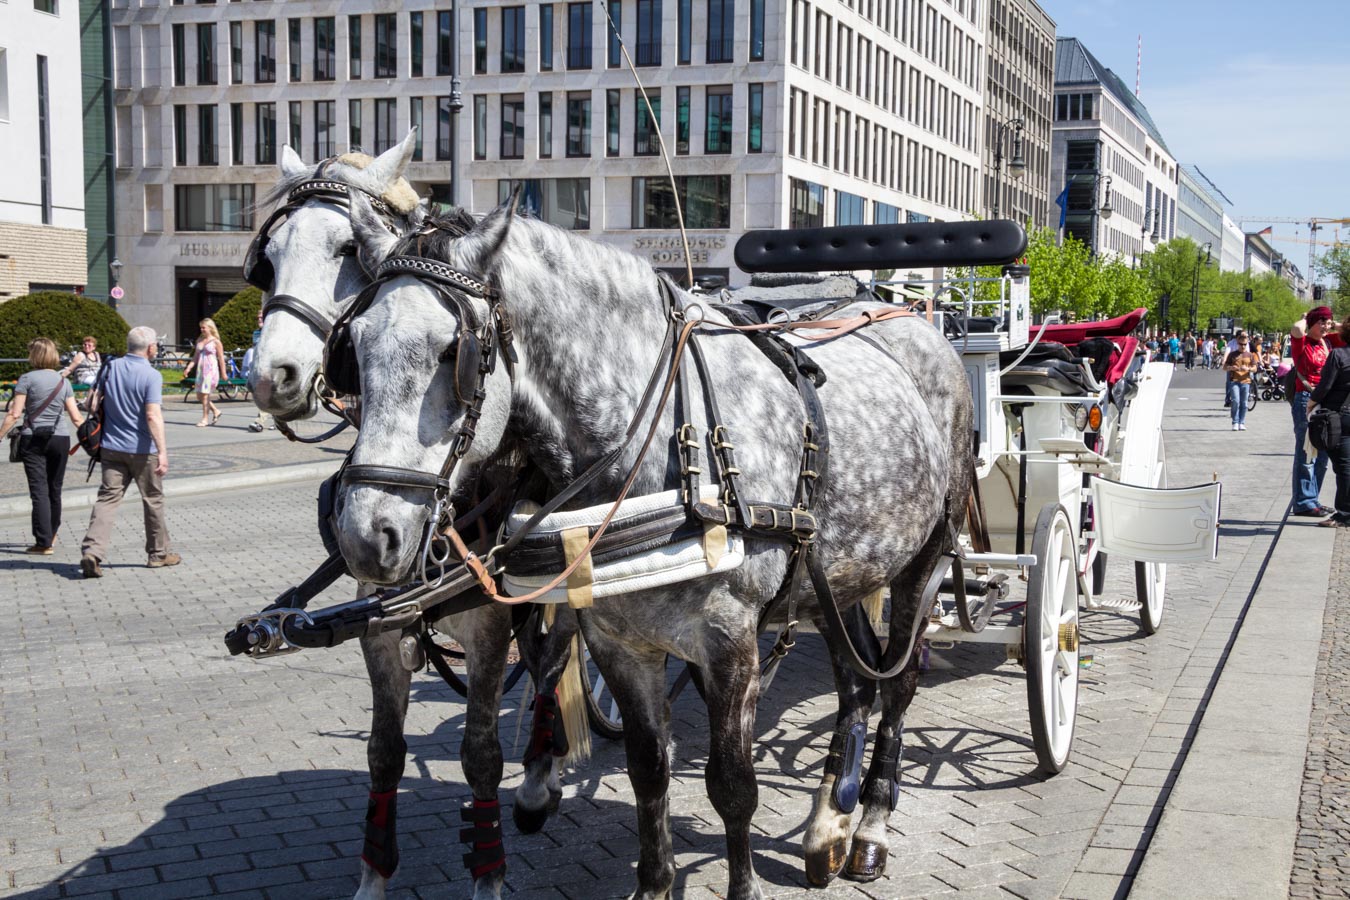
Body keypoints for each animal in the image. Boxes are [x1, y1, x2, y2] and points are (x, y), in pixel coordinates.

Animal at [247, 135, 580, 900]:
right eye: (268, 257)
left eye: (346, 248)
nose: (270, 377)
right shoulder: (380, 622)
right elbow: (384, 751)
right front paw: (374, 874)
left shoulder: (487, 629)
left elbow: (481, 752)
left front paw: (488, 871)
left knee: (552, 664)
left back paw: (539, 778)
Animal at [336, 191, 972, 900]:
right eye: (354, 345)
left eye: (456, 353)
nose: (366, 535)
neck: (668, 439)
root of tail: (916, 323)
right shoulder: (618, 640)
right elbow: (649, 769)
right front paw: (655, 880)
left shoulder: (729, 642)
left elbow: (733, 788)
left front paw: (744, 887)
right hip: (838, 578)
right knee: (856, 680)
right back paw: (829, 824)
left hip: (924, 558)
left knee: (898, 681)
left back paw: (871, 826)